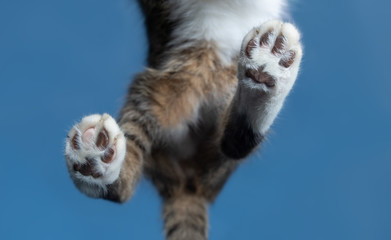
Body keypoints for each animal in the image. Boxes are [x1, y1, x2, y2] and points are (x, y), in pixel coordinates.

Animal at [64, 0, 304, 239]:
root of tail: (187, 184)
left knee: (233, 144)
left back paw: (266, 68)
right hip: (157, 91)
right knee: (122, 190)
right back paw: (94, 158)